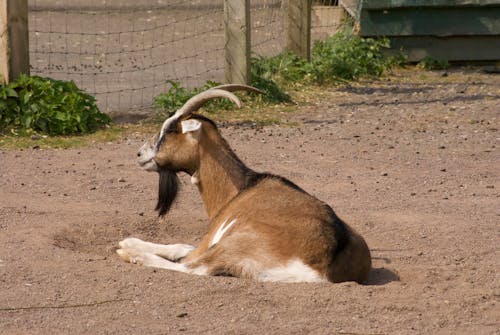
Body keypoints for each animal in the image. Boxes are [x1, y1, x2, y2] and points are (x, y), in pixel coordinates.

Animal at [115, 85, 370, 284]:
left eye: (168, 130)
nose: (140, 154)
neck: (240, 188)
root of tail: (322, 265)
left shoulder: (209, 241)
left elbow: (185, 254)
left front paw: (128, 245)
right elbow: (180, 246)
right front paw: (129, 240)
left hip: (233, 244)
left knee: (193, 268)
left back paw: (130, 254)